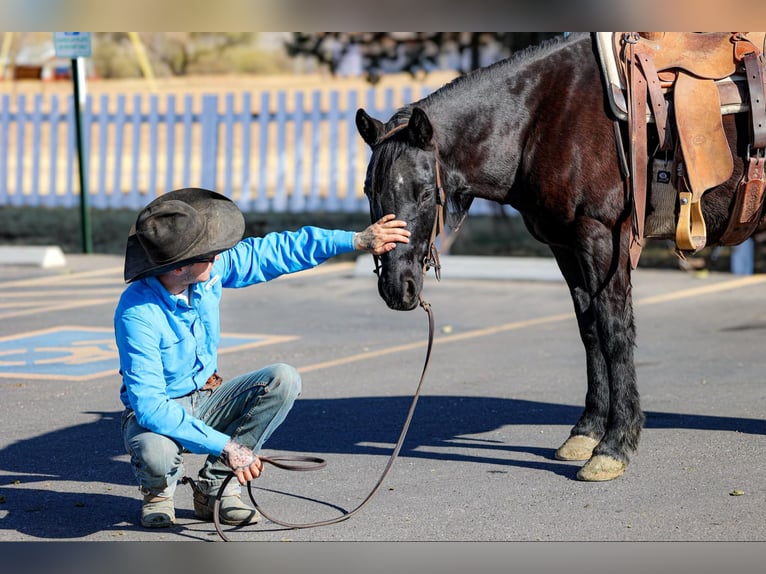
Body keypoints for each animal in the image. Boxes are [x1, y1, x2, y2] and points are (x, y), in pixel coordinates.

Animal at [355, 32, 762, 481]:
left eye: (426, 193)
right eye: (369, 190)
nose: (397, 288)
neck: (543, 118)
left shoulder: (604, 238)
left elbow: (614, 332)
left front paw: (615, 446)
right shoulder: (566, 246)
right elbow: (590, 331)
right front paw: (586, 432)